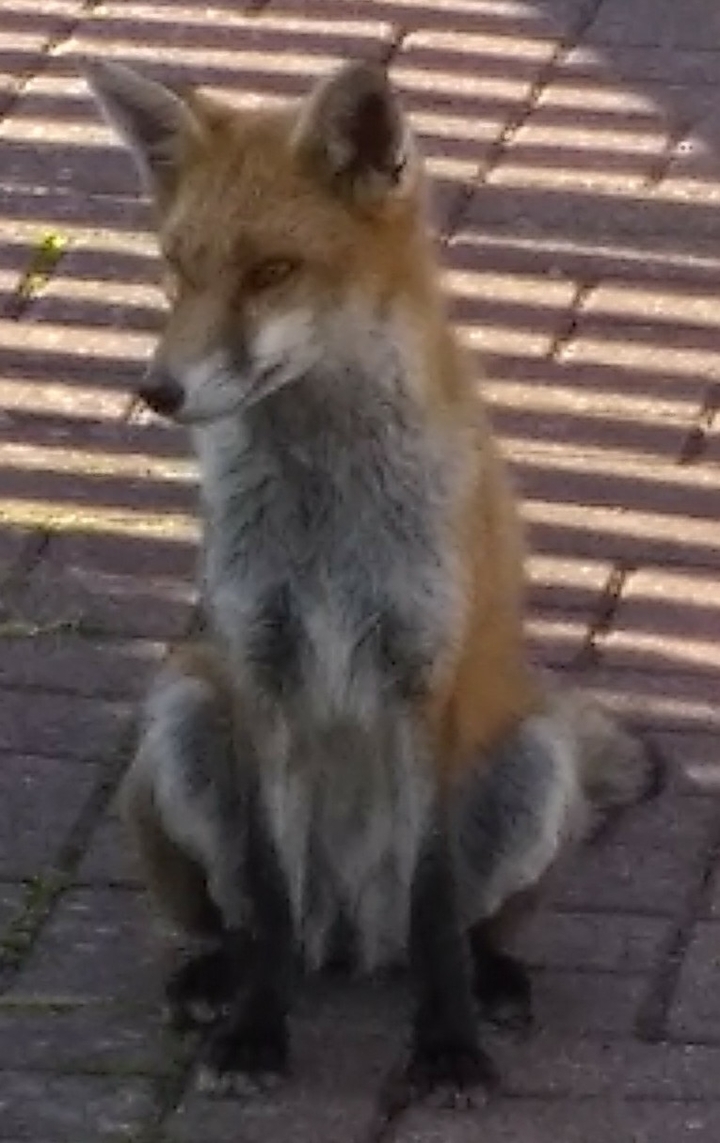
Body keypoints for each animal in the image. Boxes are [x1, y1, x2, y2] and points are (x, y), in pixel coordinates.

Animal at [85, 58, 663, 1103]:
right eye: (177, 268)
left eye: (272, 272)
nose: (157, 391)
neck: (328, 519)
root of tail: (351, 938)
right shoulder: (263, 668)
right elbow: (267, 888)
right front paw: (255, 1035)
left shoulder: (420, 677)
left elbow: (435, 903)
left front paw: (447, 1046)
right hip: (185, 710)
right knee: (243, 919)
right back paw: (216, 977)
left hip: (532, 760)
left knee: (461, 928)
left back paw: (494, 981)